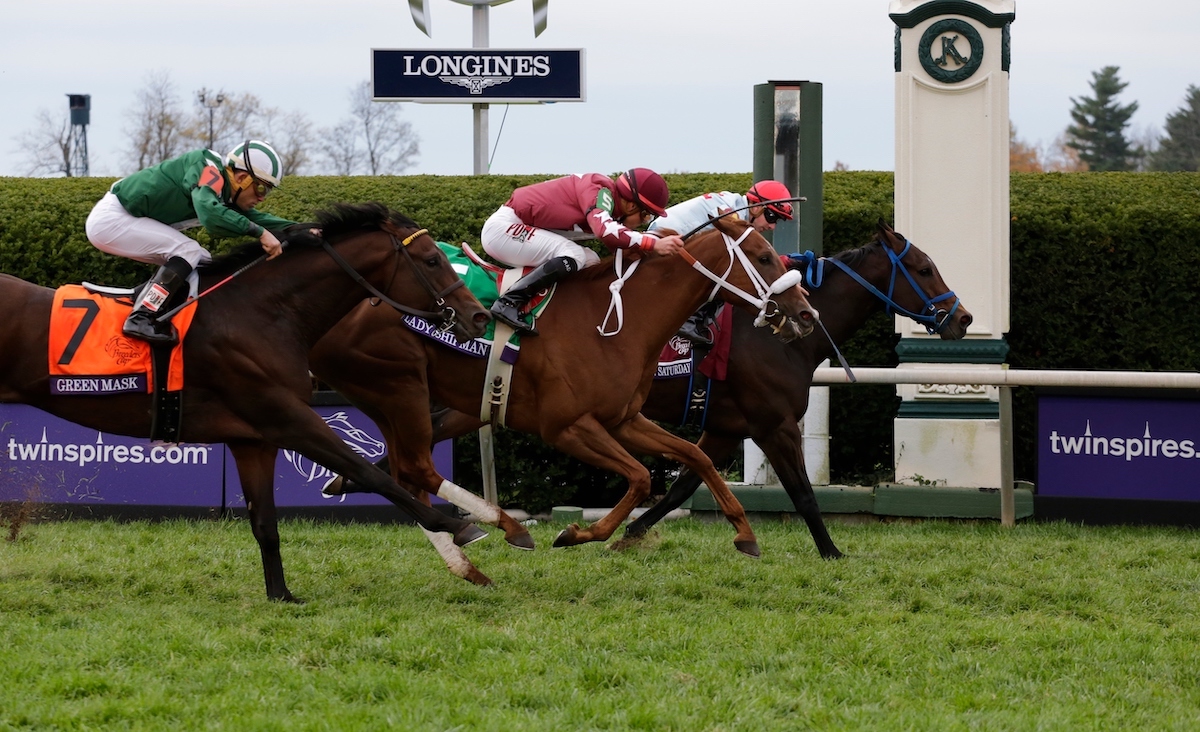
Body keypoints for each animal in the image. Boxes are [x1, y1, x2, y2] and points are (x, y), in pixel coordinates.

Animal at [0, 200, 492, 597]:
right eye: (432, 260)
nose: (478, 316)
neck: (263, 311)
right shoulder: (288, 418)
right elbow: (367, 471)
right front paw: (459, 526)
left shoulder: (254, 440)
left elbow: (265, 523)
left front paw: (281, 595)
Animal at [309, 213, 820, 583]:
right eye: (763, 256)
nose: (805, 313)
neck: (616, 319)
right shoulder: (567, 427)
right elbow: (640, 478)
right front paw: (577, 533)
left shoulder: (622, 419)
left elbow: (695, 457)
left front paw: (745, 533)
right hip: (399, 386)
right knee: (413, 469)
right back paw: (503, 529)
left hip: (390, 396)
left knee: (404, 473)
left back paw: (464, 557)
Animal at [609, 219, 974, 556]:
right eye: (924, 269)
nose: (963, 318)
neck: (781, 339)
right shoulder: (776, 427)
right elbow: (804, 494)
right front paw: (832, 552)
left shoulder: (725, 429)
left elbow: (684, 485)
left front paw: (629, 533)